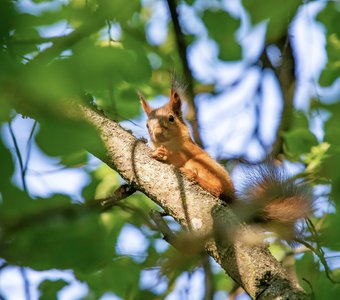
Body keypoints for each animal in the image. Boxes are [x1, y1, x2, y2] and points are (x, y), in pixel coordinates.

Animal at [139, 83, 314, 238]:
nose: (157, 133)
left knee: (217, 190)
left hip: (201, 164)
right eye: (147, 125)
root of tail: (232, 196)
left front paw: (162, 154)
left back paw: (194, 176)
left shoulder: (187, 150)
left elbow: (177, 157)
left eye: (171, 118)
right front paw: (155, 149)